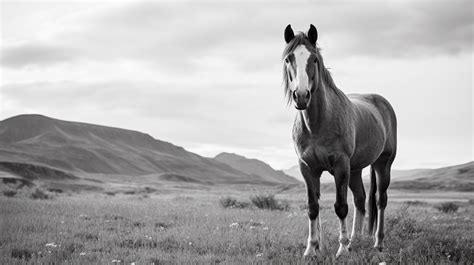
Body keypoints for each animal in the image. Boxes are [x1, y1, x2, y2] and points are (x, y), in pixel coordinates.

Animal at [282, 24, 396, 256]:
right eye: (289, 58)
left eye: (314, 59)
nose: (301, 96)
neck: (317, 124)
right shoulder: (307, 168)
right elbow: (313, 207)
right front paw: (312, 249)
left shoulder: (341, 165)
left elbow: (341, 207)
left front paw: (341, 250)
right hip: (356, 169)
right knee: (360, 199)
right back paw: (354, 241)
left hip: (382, 164)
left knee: (380, 200)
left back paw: (377, 242)